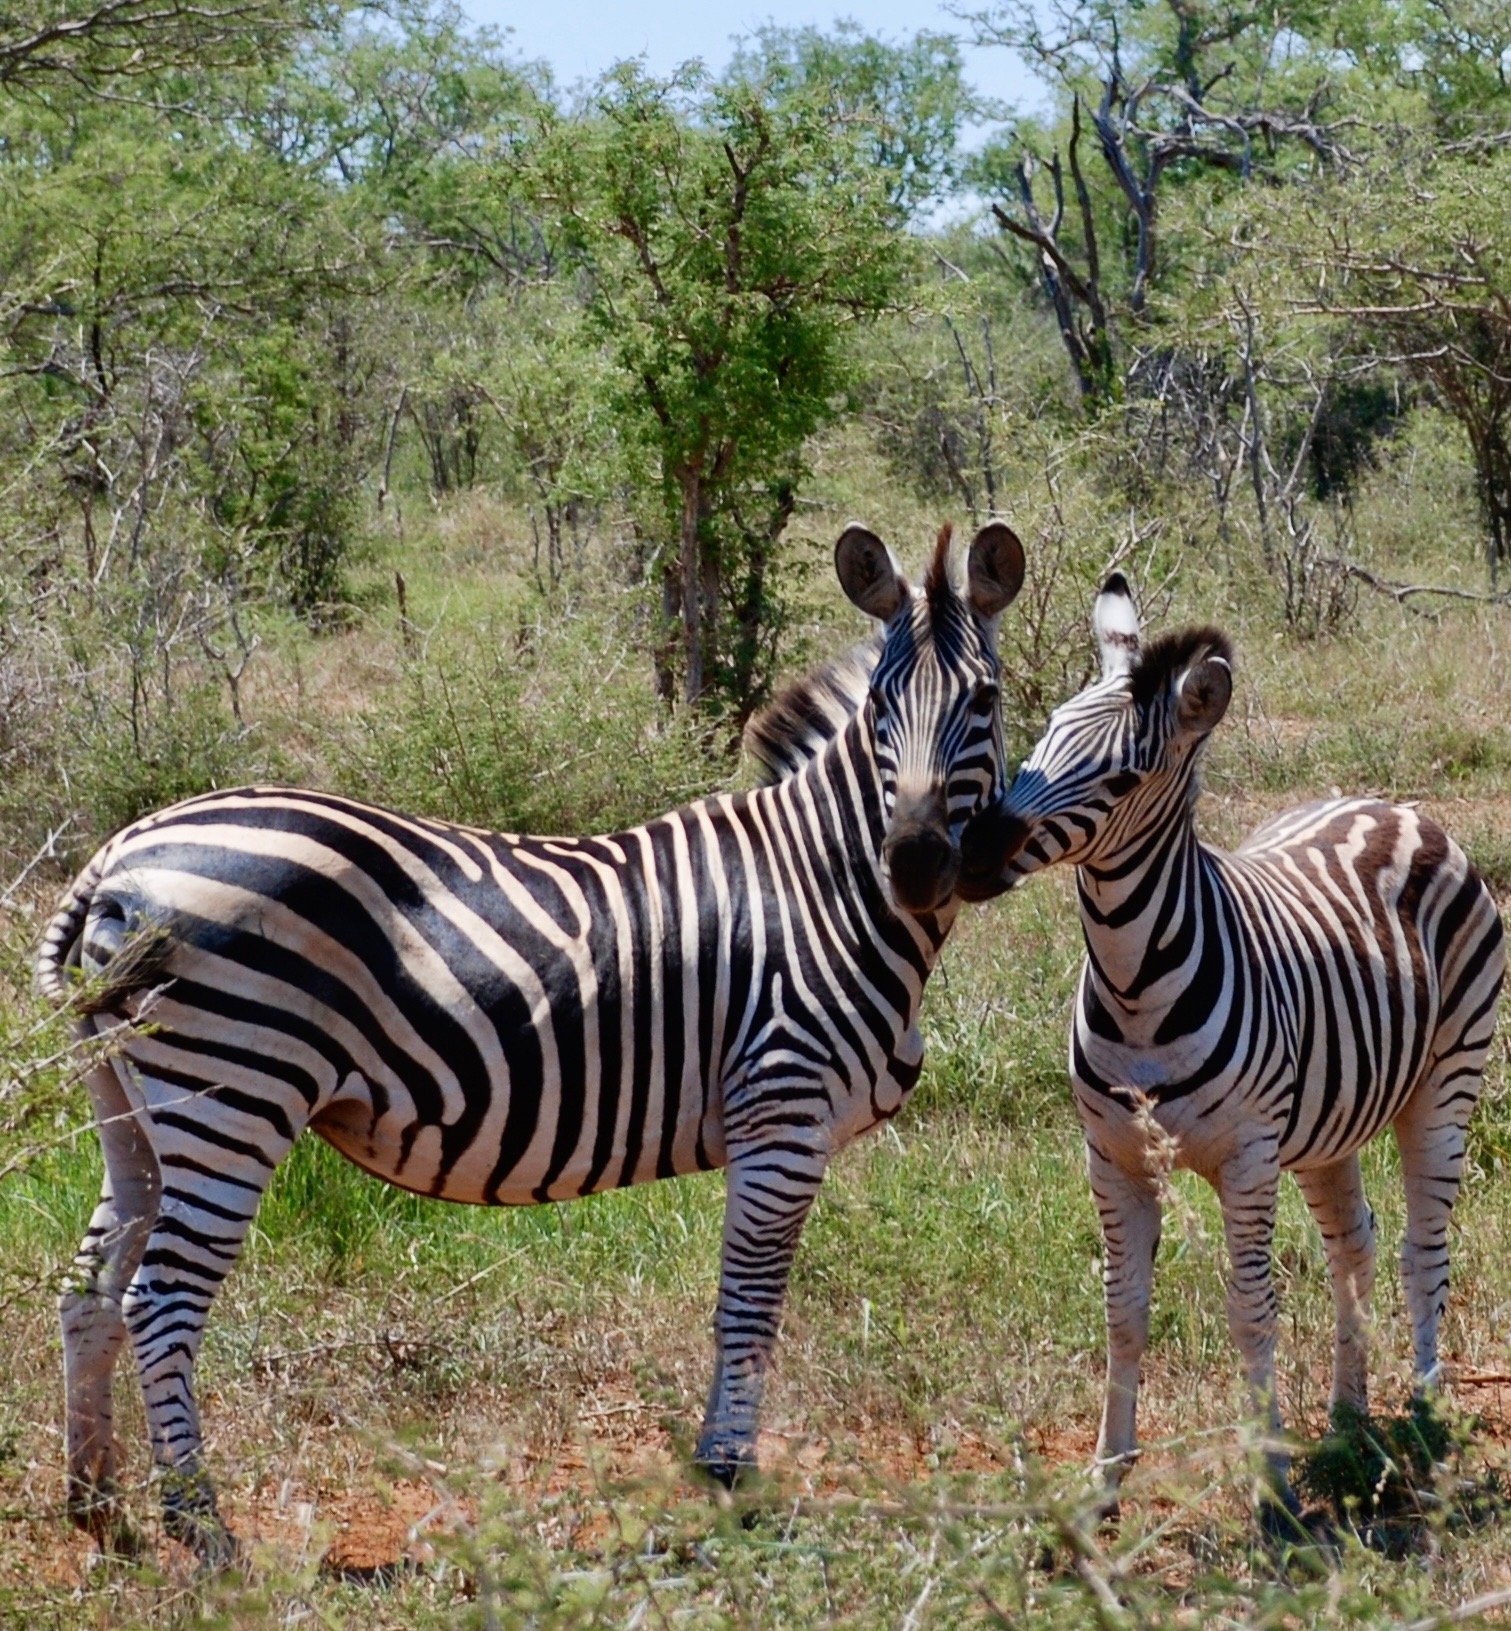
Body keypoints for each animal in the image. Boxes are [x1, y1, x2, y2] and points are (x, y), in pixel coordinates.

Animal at [36, 520, 1024, 1566]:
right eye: (880, 705)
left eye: (984, 699)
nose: (914, 864)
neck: (821, 884)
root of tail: (119, 853)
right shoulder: (783, 1112)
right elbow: (748, 1307)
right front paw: (728, 1482)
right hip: (233, 1095)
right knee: (158, 1299)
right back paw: (202, 1527)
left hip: (131, 1104)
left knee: (90, 1284)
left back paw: (98, 1503)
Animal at [957, 572, 1505, 1524]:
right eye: (1045, 733)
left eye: (1123, 776)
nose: (970, 851)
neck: (1133, 984)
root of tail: (1388, 805)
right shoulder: (1111, 1157)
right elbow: (1122, 1309)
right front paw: (1104, 1479)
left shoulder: (1247, 1158)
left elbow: (1252, 1308)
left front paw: (1272, 1484)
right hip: (1327, 1124)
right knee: (1353, 1241)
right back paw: (1347, 1414)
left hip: (1447, 1079)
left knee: (1422, 1247)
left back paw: (1426, 1415)